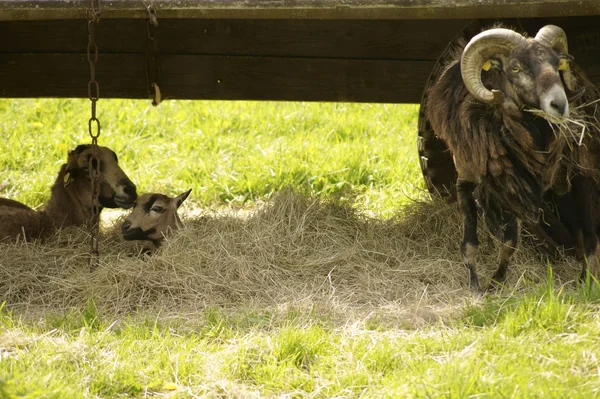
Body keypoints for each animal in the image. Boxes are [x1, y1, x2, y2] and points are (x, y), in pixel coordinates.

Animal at [426, 25, 600, 290]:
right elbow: (472, 244)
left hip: (582, 174)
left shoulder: (515, 188)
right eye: (515, 68)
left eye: (557, 64)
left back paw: (587, 281)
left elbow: (509, 243)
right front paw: (477, 287)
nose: (559, 105)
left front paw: (495, 282)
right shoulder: (472, 182)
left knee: (590, 233)